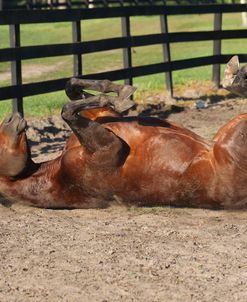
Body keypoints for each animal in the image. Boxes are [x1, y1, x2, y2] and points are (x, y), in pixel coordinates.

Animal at [1, 60, 247, 210]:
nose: (11, 117)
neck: (56, 174)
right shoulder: (110, 148)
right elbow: (67, 110)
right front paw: (118, 96)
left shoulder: (103, 117)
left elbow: (71, 87)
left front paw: (119, 91)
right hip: (234, 135)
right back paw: (235, 77)